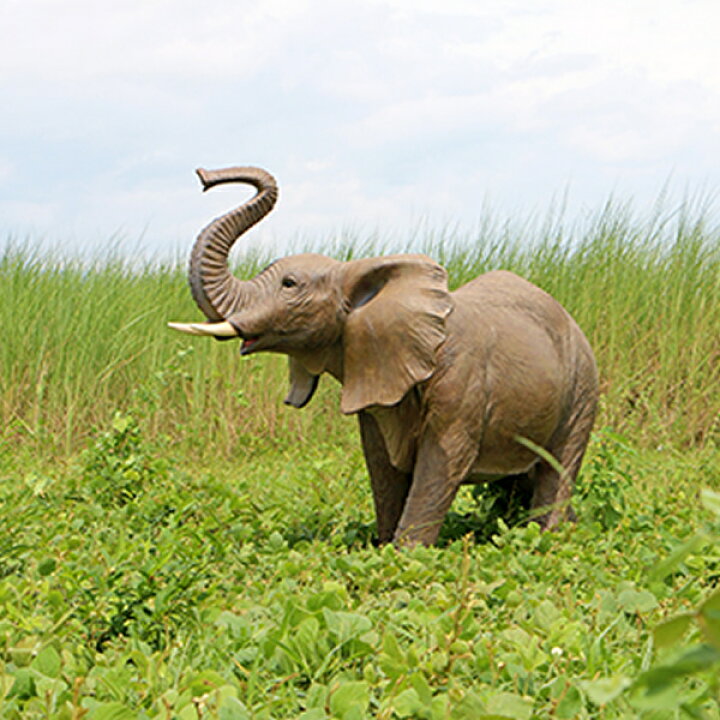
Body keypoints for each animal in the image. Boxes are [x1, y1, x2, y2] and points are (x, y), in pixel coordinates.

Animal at [169, 166, 599, 547]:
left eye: (290, 285)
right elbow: (381, 465)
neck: (355, 275)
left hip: (582, 387)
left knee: (557, 467)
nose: (204, 177)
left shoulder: (461, 383)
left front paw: (406, 556)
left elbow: (442, 464)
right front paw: (383, 547)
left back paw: (548, 538)